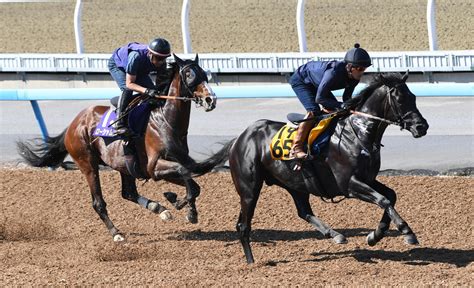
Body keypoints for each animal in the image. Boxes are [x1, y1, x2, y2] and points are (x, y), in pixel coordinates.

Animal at [18, 54, 226, 243]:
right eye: (189, 74)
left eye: (205, 74)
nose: (211, 99)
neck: (164, 120)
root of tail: (73, 124)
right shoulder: (154, 167)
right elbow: (185, 174)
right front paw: (177, 201)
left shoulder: (163, 167)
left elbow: (194, 185)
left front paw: (184, 207)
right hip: (88, 165)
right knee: (98, 202)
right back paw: (116, 233)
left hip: (125, 165)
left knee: (128, 193)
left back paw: (159, 209)